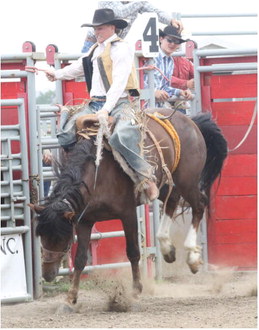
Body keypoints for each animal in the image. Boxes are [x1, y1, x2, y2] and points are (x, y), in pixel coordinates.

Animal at [31, 109, 229, 306]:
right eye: (42, 236)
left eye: (62, 239)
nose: (47, 275)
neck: (97, 174)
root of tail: (190, 121)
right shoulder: (84, 220)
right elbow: (80, 259)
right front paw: (71, 297)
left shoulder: (128, 213)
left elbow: (133, 252)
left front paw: (135, 290)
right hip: (166, 183)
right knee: (172, 201)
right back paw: (167, 248)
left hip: (187, 181)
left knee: (199, 204)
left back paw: (192, 258)